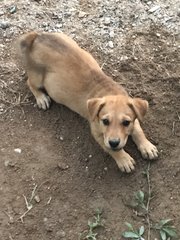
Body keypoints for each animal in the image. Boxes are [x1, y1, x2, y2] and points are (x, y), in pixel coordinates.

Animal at [18, 31, 158, 172]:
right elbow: (112, 150)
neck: (109, 92)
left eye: (126, 122)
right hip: (37, 77)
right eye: (105, 121)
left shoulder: (134, 118)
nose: (114, 143)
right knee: (29, 83)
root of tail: (36, 37)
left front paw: (147, 146)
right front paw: (124, 159)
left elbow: (138, 131)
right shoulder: (98, 133)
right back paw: (41, 98)